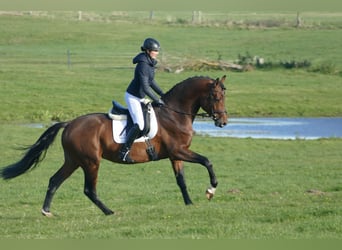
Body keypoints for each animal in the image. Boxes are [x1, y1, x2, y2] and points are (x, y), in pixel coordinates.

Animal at [2, 75, 230, 216]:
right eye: (216, 96)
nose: (223, 122)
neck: (174, 114)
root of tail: (70, 124)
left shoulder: (175, 155)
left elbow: (181, 180)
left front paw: (189, 203)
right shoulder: (180, 151)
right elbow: (207, 161)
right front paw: (211, 190)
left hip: (73, 161)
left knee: (54, 180)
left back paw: (46, 211)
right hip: (91, 162)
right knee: (89, 189)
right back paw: (109, 212)